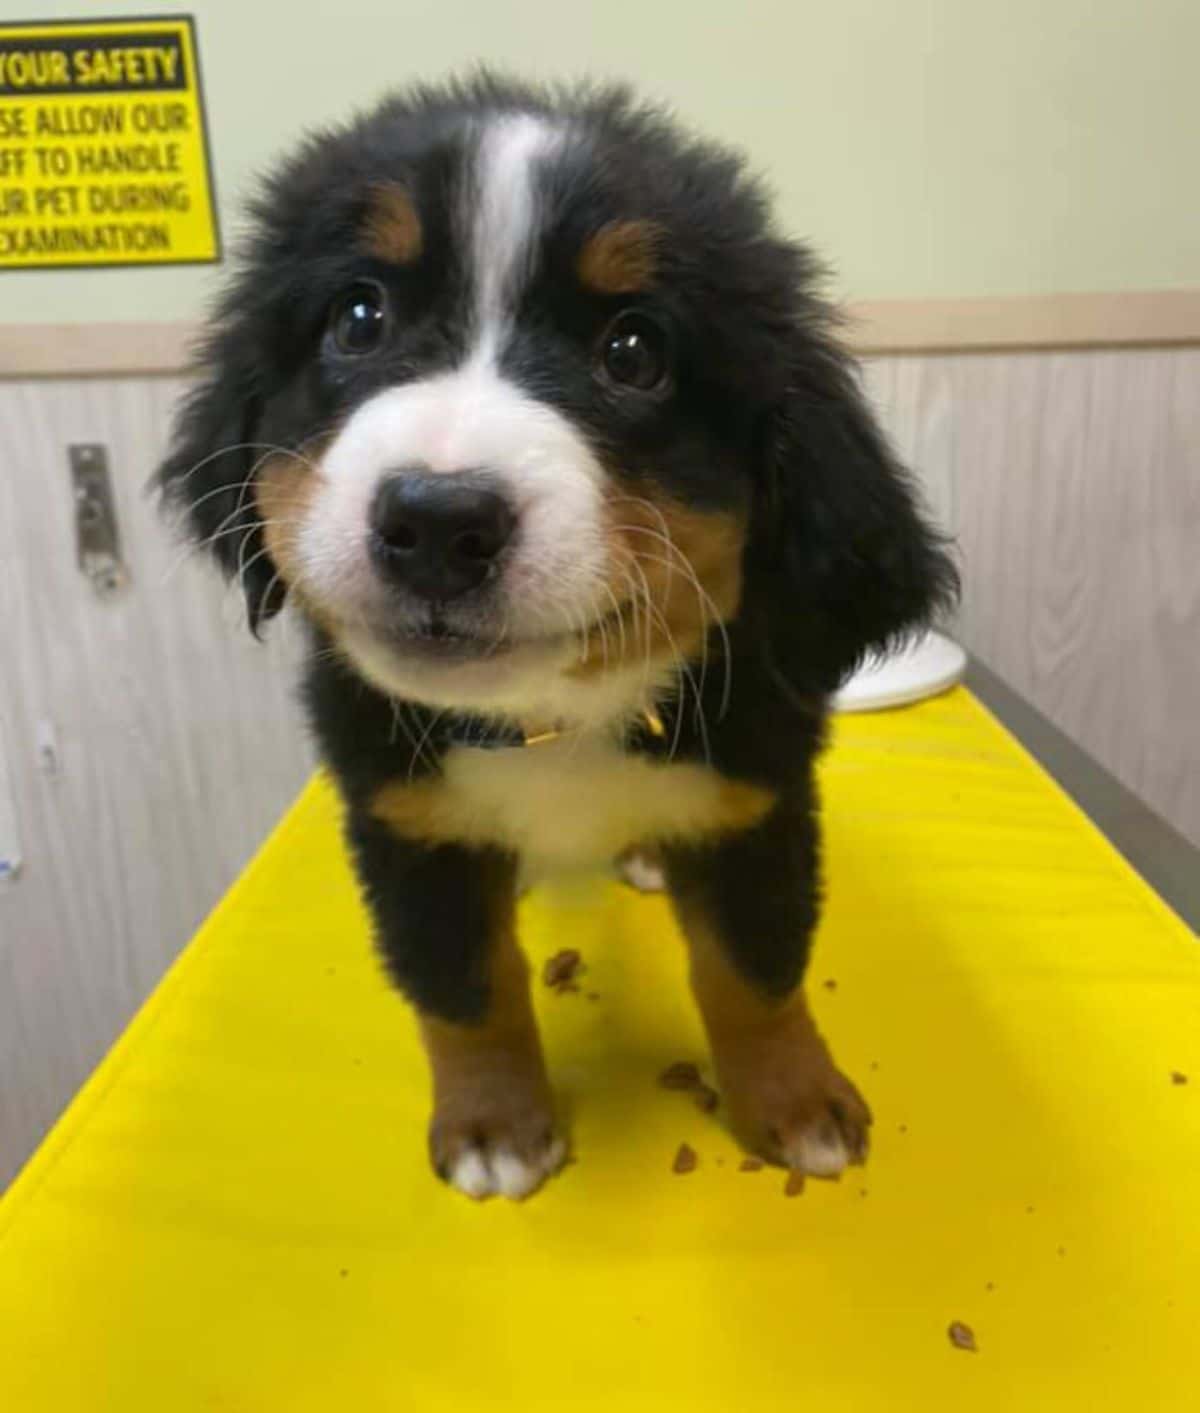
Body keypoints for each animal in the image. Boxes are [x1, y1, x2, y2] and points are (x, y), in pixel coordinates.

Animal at [156, 74, 955, 1203]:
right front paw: (496, 1125)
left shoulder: (759, 799)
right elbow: (463, 989)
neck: (555, 717)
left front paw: (797, 1103)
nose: (436, 521)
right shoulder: (407, 823)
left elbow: (755, 970)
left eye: (634, 352)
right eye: (359, 317)